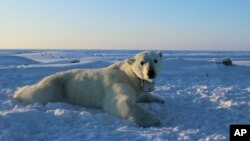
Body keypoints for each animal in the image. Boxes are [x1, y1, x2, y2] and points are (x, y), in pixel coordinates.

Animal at [14, 50, 165, 126]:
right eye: (142, 62)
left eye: (155, 60)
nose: (151, 73)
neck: (128, 75)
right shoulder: (118, 83)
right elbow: (121, 101)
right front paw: (153, 120)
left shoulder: (136, 86)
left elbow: (143, 95)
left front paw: (160, 100)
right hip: (57, 86)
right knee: (38, 92)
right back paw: (17, 93)